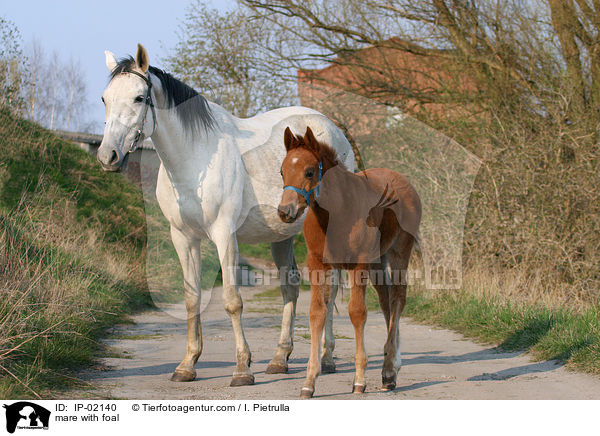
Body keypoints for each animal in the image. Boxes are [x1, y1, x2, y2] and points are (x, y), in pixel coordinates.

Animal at [96, 43, 354, 384]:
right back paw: (280, 358)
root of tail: (334, 132)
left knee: (330, 288)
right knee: (290, 286)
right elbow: (192, 299)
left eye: (139, 97)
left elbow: (232, 301)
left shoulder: (224, 234)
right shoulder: (183, 238)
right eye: (105, 99)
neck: (196, 157)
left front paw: (242, 368)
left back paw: (326, 357)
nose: (108, 156)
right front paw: (188, 364)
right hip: (281, 234)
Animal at [278, 126, 422, 398]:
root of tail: (404, 182)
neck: (336, 211)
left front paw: (359, 381)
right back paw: (388, 371)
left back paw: (391, 368)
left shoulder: (359, 264)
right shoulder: (317, 263)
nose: (284, 211)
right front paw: (309, 382)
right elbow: (316, 312)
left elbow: (357, 312)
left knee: (398, 298)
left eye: (309, 171)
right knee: (386, 300)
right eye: (282, 171)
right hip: (378, 261)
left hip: (399, 252)